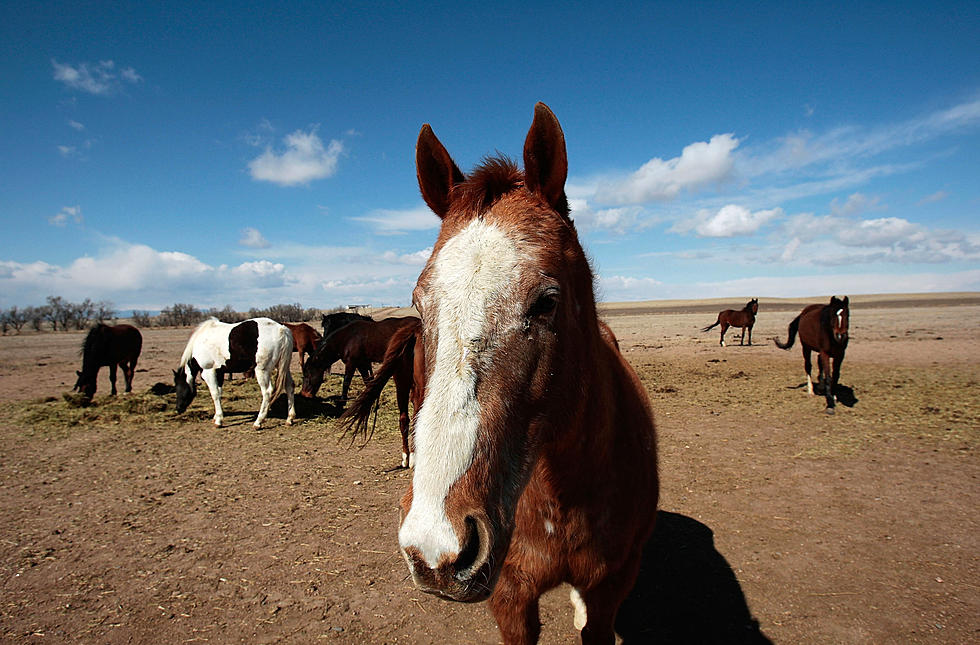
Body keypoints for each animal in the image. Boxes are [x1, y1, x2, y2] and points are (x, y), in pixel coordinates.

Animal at [382, 103, 660, 640]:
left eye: (546, 301)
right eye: (419, 308)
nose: (435, 546)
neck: (561, 494)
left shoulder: (613, 584)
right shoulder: (511, 598)